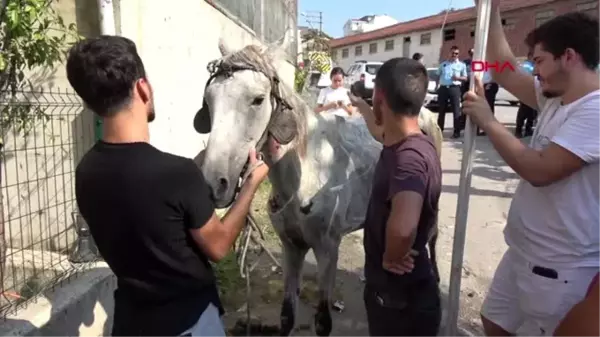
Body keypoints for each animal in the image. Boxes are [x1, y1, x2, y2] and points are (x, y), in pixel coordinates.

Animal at [195, 34, 442, 336]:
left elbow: (323, 321)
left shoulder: (327, 251)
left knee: (431, 238)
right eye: (209, 100)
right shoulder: (291, 248)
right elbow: (287, 315)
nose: (213, 184)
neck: (308, 172)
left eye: (258, 99)